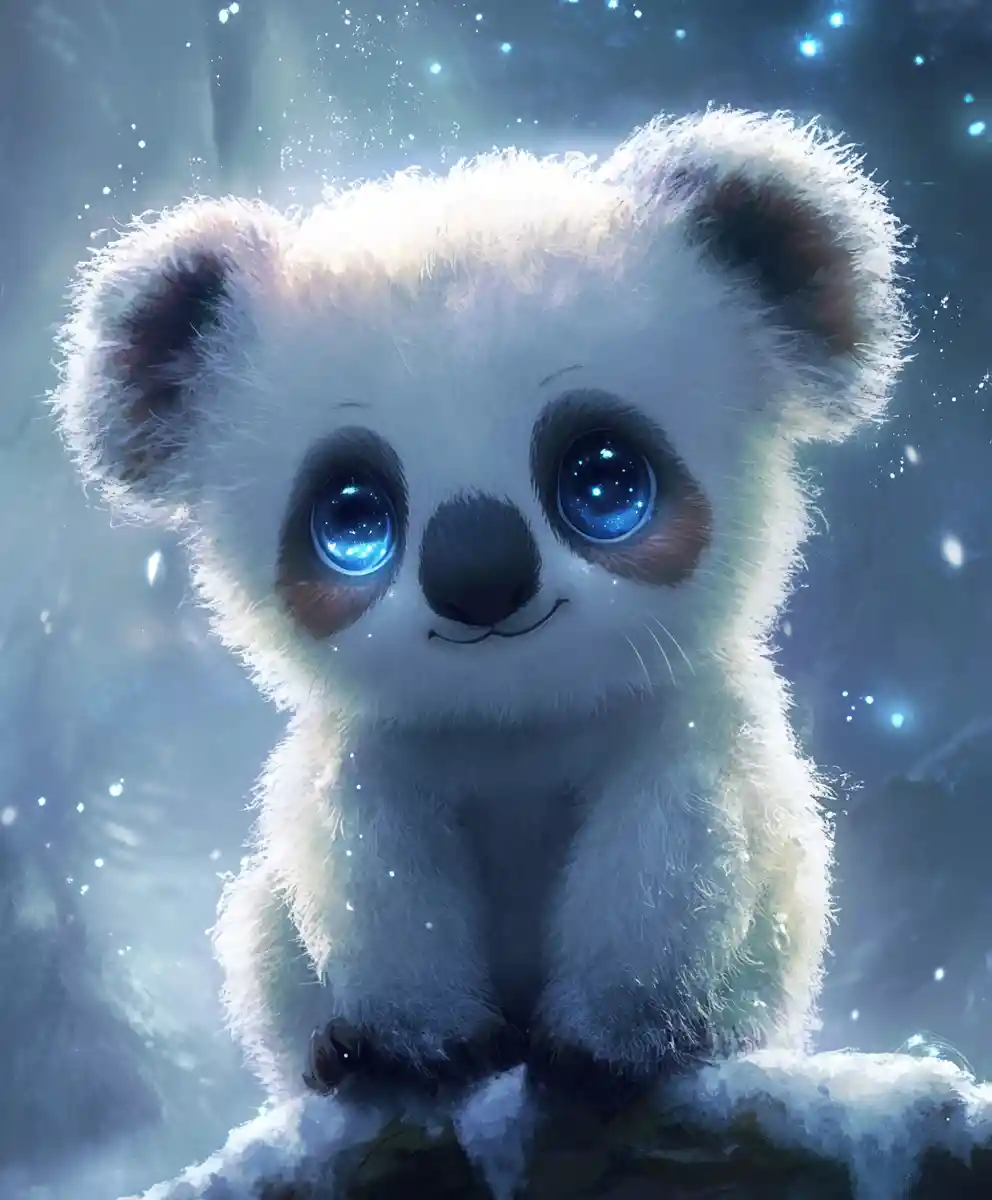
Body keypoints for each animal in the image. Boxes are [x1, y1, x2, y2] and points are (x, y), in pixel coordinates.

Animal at [50, 108, 909, 1108]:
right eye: (351, 518)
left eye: (605, 480)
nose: (479, 578)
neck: (516, 718)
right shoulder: (381, 753)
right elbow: (377, 874)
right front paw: (419, 1046)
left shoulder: (683, 720)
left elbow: (672, 858)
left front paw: (614, 1044)